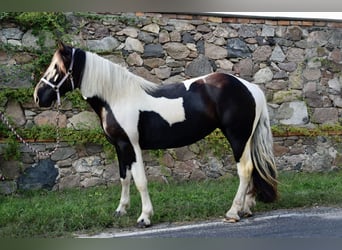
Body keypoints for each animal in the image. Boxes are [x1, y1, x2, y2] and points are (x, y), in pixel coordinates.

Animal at [33, 43, 276, 229]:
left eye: (56, 67)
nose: (37, 96)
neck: (118, 97)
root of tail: (250, 87)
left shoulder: (132, 145)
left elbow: (140, 180)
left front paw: (144, 217)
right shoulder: (120, 146)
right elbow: (124, 178)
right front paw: (121, 210)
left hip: (237, 137)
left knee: (245, 170)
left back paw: (233, 212)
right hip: (246, 139)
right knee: (252, 169)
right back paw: (247, 209)